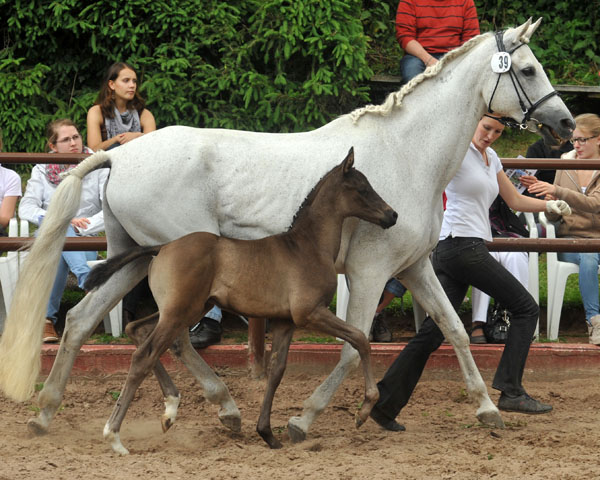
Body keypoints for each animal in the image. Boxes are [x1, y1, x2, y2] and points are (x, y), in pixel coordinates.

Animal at [83, 148, 394, 452]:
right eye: (363, 188)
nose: (392, 215)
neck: (308, 247)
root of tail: (162, 247)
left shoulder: (285, 322)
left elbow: (277, 371)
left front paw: (268, 434)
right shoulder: (310, 313)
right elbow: (360, 339)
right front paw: (365, 410)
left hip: (186, 309)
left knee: (136, 329)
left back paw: (170, 410)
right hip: (179, 312)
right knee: (142, 356)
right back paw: (115, 436)